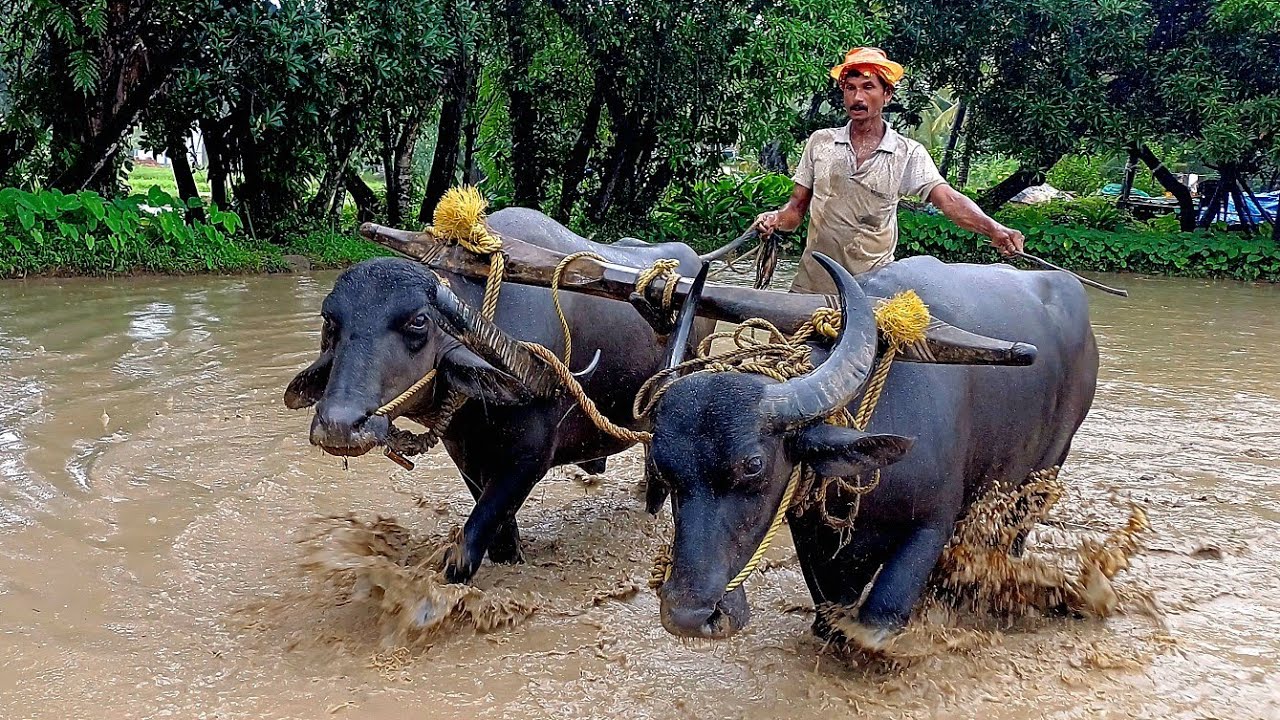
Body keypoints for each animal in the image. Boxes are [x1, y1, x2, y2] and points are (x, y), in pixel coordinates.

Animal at [647, 253, 1098, 647]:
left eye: (753, 465)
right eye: (663, 469)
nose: (689, 616)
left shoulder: (932, 525)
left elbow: (880, 618)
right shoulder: (813, 538)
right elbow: (829, 611)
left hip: (1047, 469)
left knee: (1015, 533)